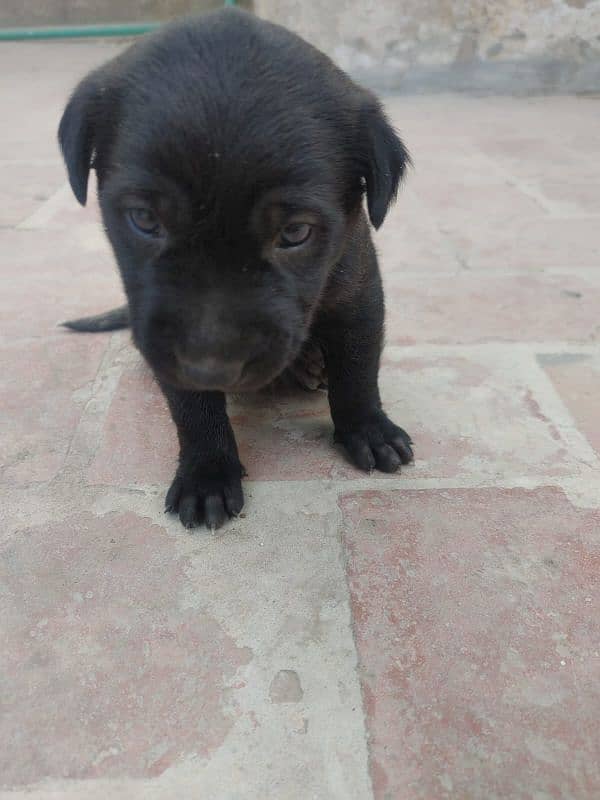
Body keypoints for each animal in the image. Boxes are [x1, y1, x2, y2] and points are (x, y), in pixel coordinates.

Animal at [58, 9, 412, 532]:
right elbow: (193, 408)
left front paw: (367, 428)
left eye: (295, 232)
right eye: (144, 219)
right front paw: (207, 472)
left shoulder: (358, 290)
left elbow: (358, 368)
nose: (211, 366)